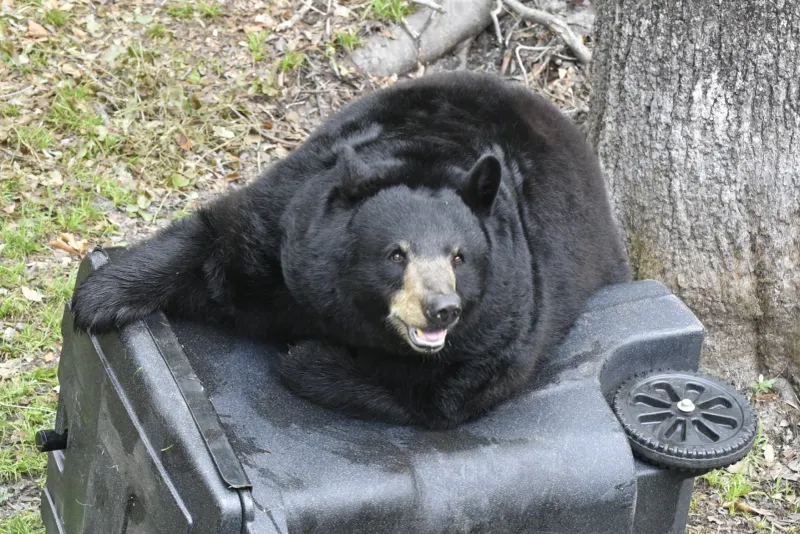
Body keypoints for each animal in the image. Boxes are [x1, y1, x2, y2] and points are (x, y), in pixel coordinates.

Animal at [70, 71, 631, 429]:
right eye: (396, 254)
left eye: (459, 256)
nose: (441, 309)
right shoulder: (287, 234)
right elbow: (219, 245)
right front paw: (98, 298)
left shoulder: (510, 307)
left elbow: (442, 395)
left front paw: (307, 357)